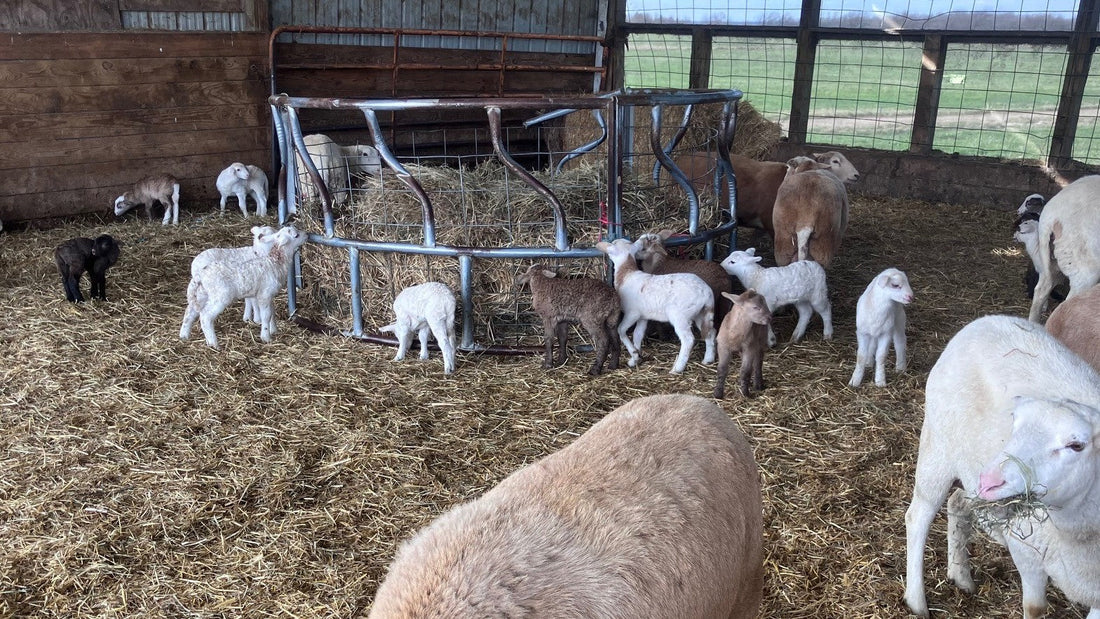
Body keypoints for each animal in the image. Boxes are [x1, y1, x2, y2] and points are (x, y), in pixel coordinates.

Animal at [596, 238, 716, 374]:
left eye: (614, 244)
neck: (626, 274)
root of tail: (706, 292)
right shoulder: (643, 317)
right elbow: (638, 334)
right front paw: (635, 359)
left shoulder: (632, 313)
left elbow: (621, 330)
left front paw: (633, 353)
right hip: (701, 313)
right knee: (710, 332)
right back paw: (708, 359)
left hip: (680, 315)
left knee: (688, 340)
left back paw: (677, 368)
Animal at [904, 315, 1100, 619]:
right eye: (1015, 422)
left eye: (1076, 445)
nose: (991, 480)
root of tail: (988, 319)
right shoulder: (1027, 549)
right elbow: (1034, 607)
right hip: (938, 445)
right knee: (918, 516)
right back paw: (916, 601)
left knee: (957, 501)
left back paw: (961, 575)